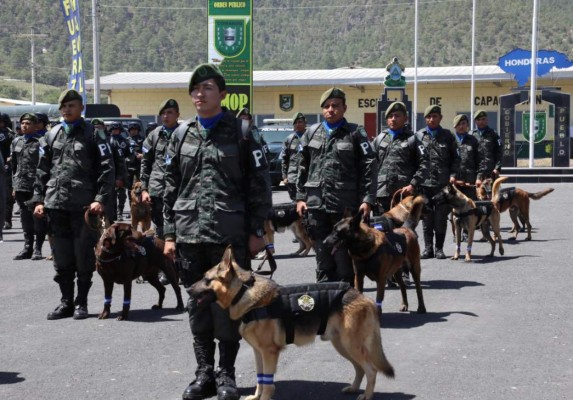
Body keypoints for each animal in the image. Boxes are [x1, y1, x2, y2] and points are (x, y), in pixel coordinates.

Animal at [190, 247, 396, 400]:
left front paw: (264, 398)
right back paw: (353, 388)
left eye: (206, 279)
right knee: (360, 368)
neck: (243, 292)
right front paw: (256, 396)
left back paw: (366, 395)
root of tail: (364, 298)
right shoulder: (258, 353)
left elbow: (267, 383)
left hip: (351, 345)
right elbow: (260, 378)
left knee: (371, 370)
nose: (189, 290)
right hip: (343, 346)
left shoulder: (269, 353)